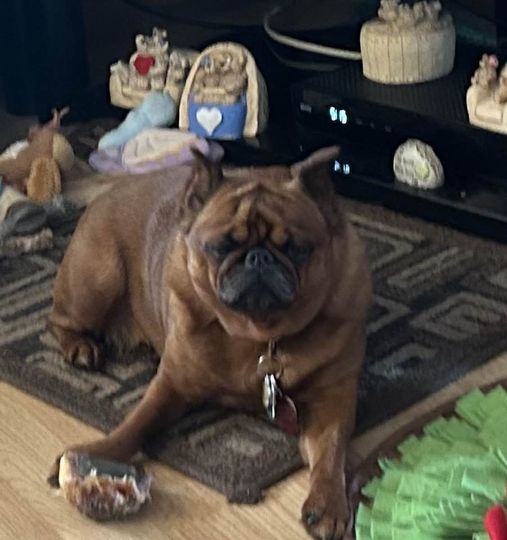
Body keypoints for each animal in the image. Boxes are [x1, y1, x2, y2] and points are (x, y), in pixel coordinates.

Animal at [47, 146, 371, 540]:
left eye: (296, 248)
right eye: (220, 247)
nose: (258, 257)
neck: (258, 337)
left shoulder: (332, 400)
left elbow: (330, 451)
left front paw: (328, 503)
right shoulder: (170, 385)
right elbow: (135, 423)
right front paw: (98, 452)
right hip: (96, 281)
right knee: (57, 319)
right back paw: (80, 348)